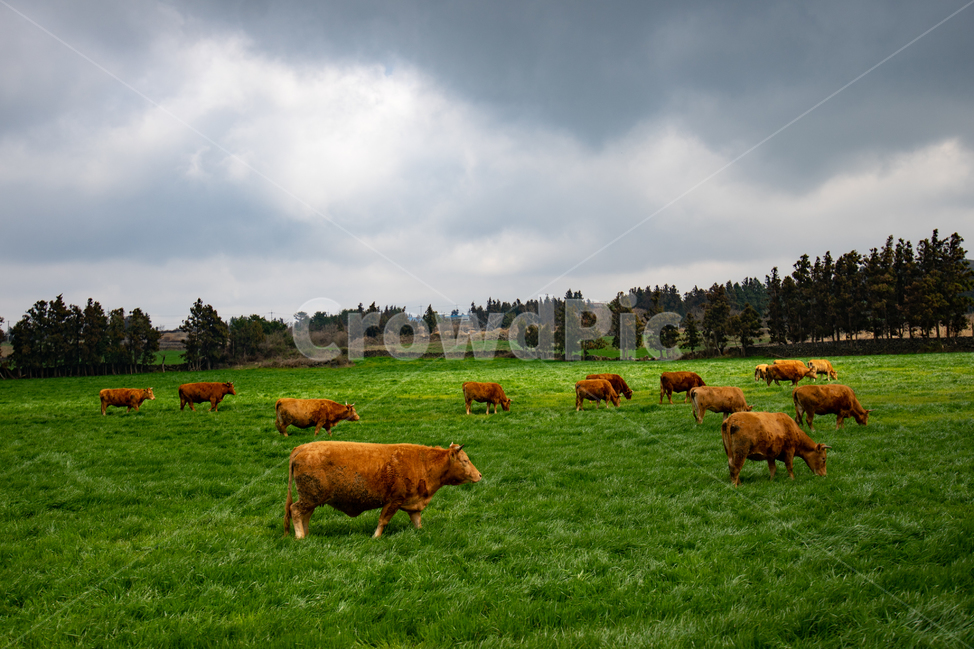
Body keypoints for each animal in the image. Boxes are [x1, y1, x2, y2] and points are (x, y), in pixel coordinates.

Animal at [284, 441, 482, 539]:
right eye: (465, 461)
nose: (479, 475)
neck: (423, 462)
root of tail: (301, 448)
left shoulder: (413, 502)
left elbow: (417, 521)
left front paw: (420, 532)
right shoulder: (394, 500)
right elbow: (383, 520)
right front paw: (376, 537)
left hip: (312, 498)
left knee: (305, 514)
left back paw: (306, 533)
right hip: (310, 497)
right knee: (295, 510)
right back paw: (300, 536)